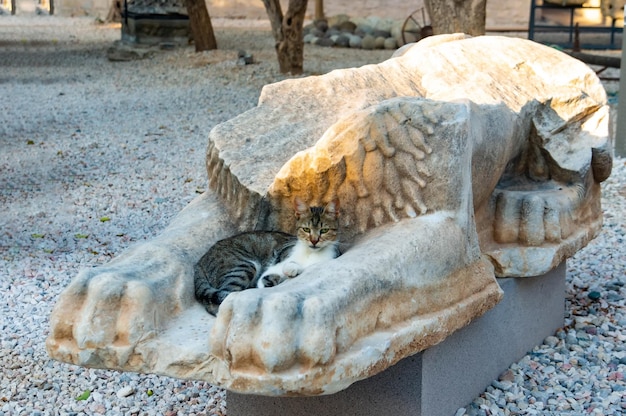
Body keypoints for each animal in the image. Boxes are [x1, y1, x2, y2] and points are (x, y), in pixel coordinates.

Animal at [195, 199, 342, 316]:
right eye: (306, 229)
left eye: (324, 231)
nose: (314, 241)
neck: (310, 253)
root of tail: (199, 262)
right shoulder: (278, 261)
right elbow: (272, 275)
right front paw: (290, 269)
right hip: (243, 266)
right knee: (221, 298)